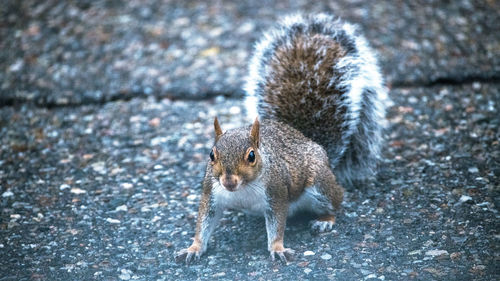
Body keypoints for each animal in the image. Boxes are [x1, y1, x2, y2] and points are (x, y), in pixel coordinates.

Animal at [176, 13, 386, 262]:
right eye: (211, 155)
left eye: (251, 156)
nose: (228, 181)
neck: (243, 189)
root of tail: (315, 144)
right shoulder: (212, 194)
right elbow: (204, 223)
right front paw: (194, 247)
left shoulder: (276, 194)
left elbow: (277, 225)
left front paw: (277, 248)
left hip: (319, 185)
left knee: (336, 201)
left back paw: (325, 220)